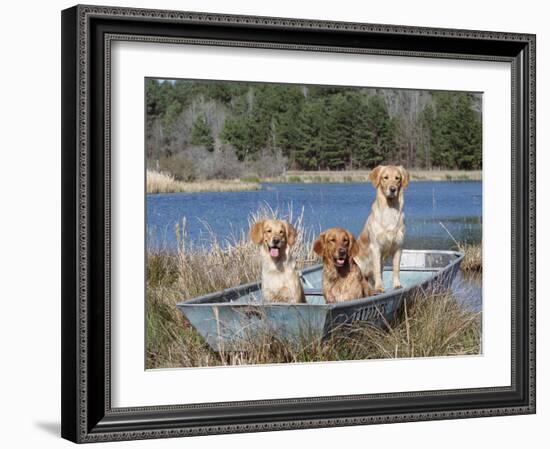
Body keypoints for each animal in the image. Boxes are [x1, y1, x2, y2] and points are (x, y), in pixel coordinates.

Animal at [358, 164, 410, 294]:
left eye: (397, 178)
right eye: (385, 177)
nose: (392, 189)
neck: (390, 209)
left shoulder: (398, 247)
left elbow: (396, 269)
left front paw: (397, 285)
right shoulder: (376, 248)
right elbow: (377, 270)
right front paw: (379, 287)